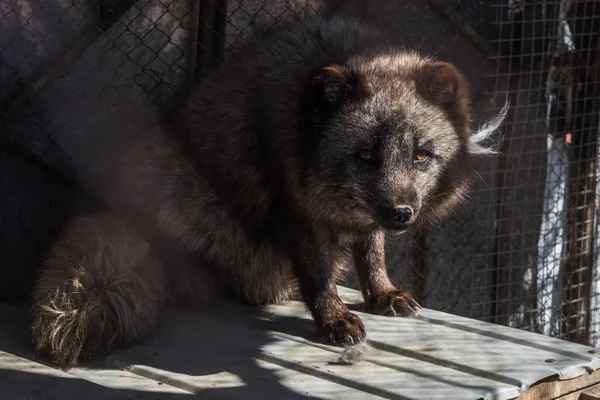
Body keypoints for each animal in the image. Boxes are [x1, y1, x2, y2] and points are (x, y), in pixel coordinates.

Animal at [29, 14, 506, 368]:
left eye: (421, 155)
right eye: (365, 155)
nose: (401, 213)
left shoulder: (363, 218)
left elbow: (372, 252)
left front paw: (382, 294)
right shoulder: (295, 206)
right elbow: (317, 272)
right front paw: (333, 318)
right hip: (157, 163)